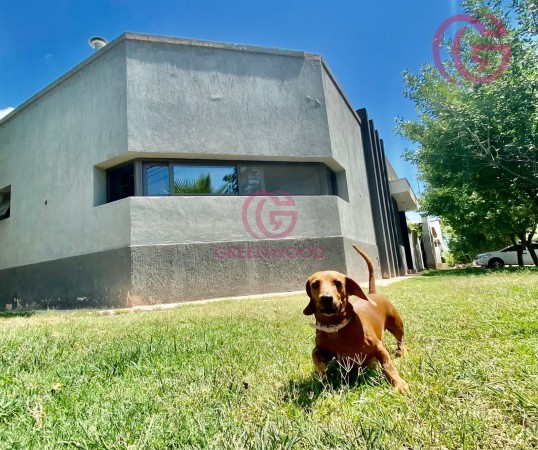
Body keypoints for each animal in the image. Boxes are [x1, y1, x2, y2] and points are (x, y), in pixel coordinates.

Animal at [303, 245, 409, 394]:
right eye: (315, 284)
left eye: (338, 283)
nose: (326, 298)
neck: (336, 328)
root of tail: (372, 293)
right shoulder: (325, 351)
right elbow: (315, 353)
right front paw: (322, 374)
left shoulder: (379, 348)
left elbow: (388, 366)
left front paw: (399, 383)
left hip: (397, 325)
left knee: (401, 340)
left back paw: (402, 353)